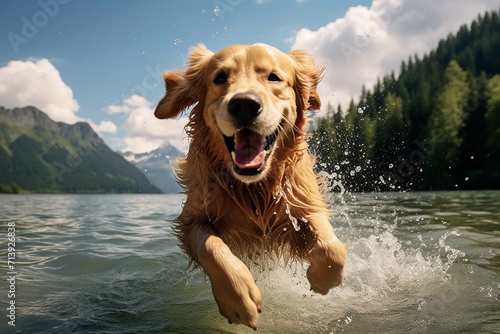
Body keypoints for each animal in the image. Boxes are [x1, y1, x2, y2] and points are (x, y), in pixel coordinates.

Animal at [154, 43, 346, 328]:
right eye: (220, 78)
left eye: (274, 77)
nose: (244, 104)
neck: (254, 189)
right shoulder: (192, 219)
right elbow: (212, 247)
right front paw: (237, 297)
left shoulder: (302, 204)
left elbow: (332, 249)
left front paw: (321, 280)